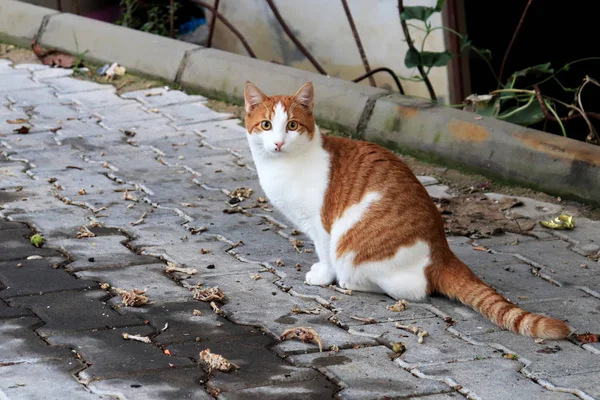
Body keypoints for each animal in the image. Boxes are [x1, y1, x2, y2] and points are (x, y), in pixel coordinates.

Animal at [244, 79, 572, 340]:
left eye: (292, 125)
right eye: (266, 125)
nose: (277, 143)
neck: (285, 165)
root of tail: (441, 250)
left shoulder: (322, 225)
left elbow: (324, 254)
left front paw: (323, 276)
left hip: (352, 246)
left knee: (409, 288)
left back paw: (349, 281)